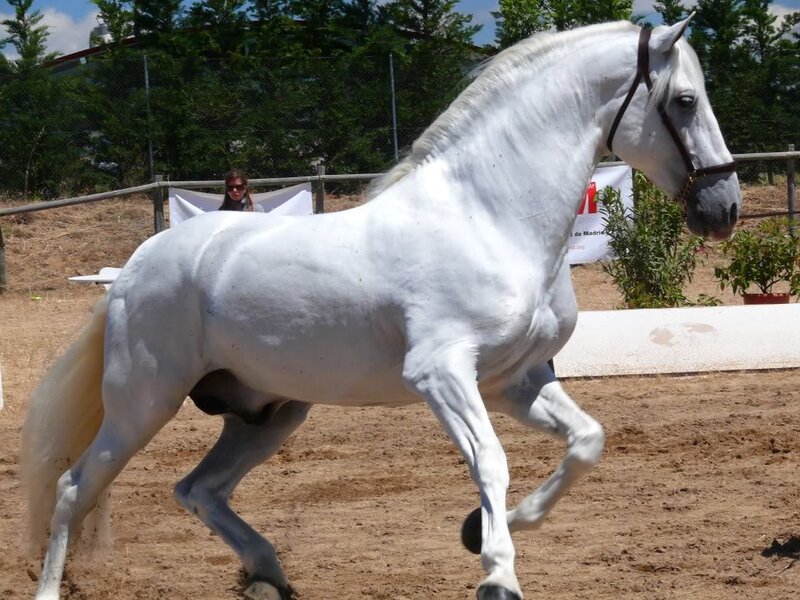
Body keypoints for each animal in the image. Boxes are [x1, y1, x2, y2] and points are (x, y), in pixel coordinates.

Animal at [21, 17, 740, 600]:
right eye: (684, 101)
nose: (724, 208)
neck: (490, 215)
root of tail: (135, 268)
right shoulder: (442, 375)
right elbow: (491, 461)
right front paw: (497, 574)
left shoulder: (515, 381)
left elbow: (586, 442)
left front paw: (485, 530)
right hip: (143, 402)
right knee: (74, 487)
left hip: (270, 413)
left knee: (199, 489)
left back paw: (268, 574)